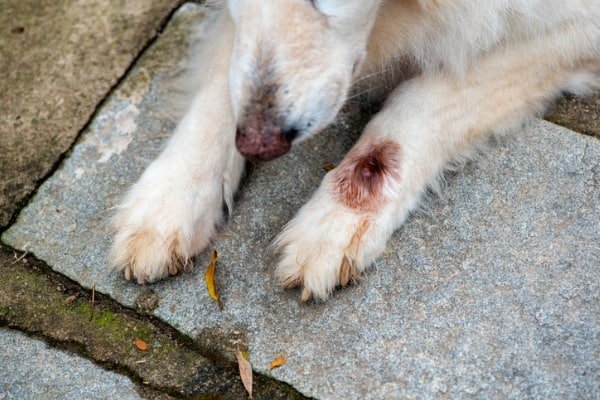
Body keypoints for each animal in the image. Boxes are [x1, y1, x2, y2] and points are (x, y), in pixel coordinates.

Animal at [109, 0, 600, 300]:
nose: (259, 144)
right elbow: (225, 81)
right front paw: (170, 198)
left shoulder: (573, 27)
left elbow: (426, 97)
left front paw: (335, 222)